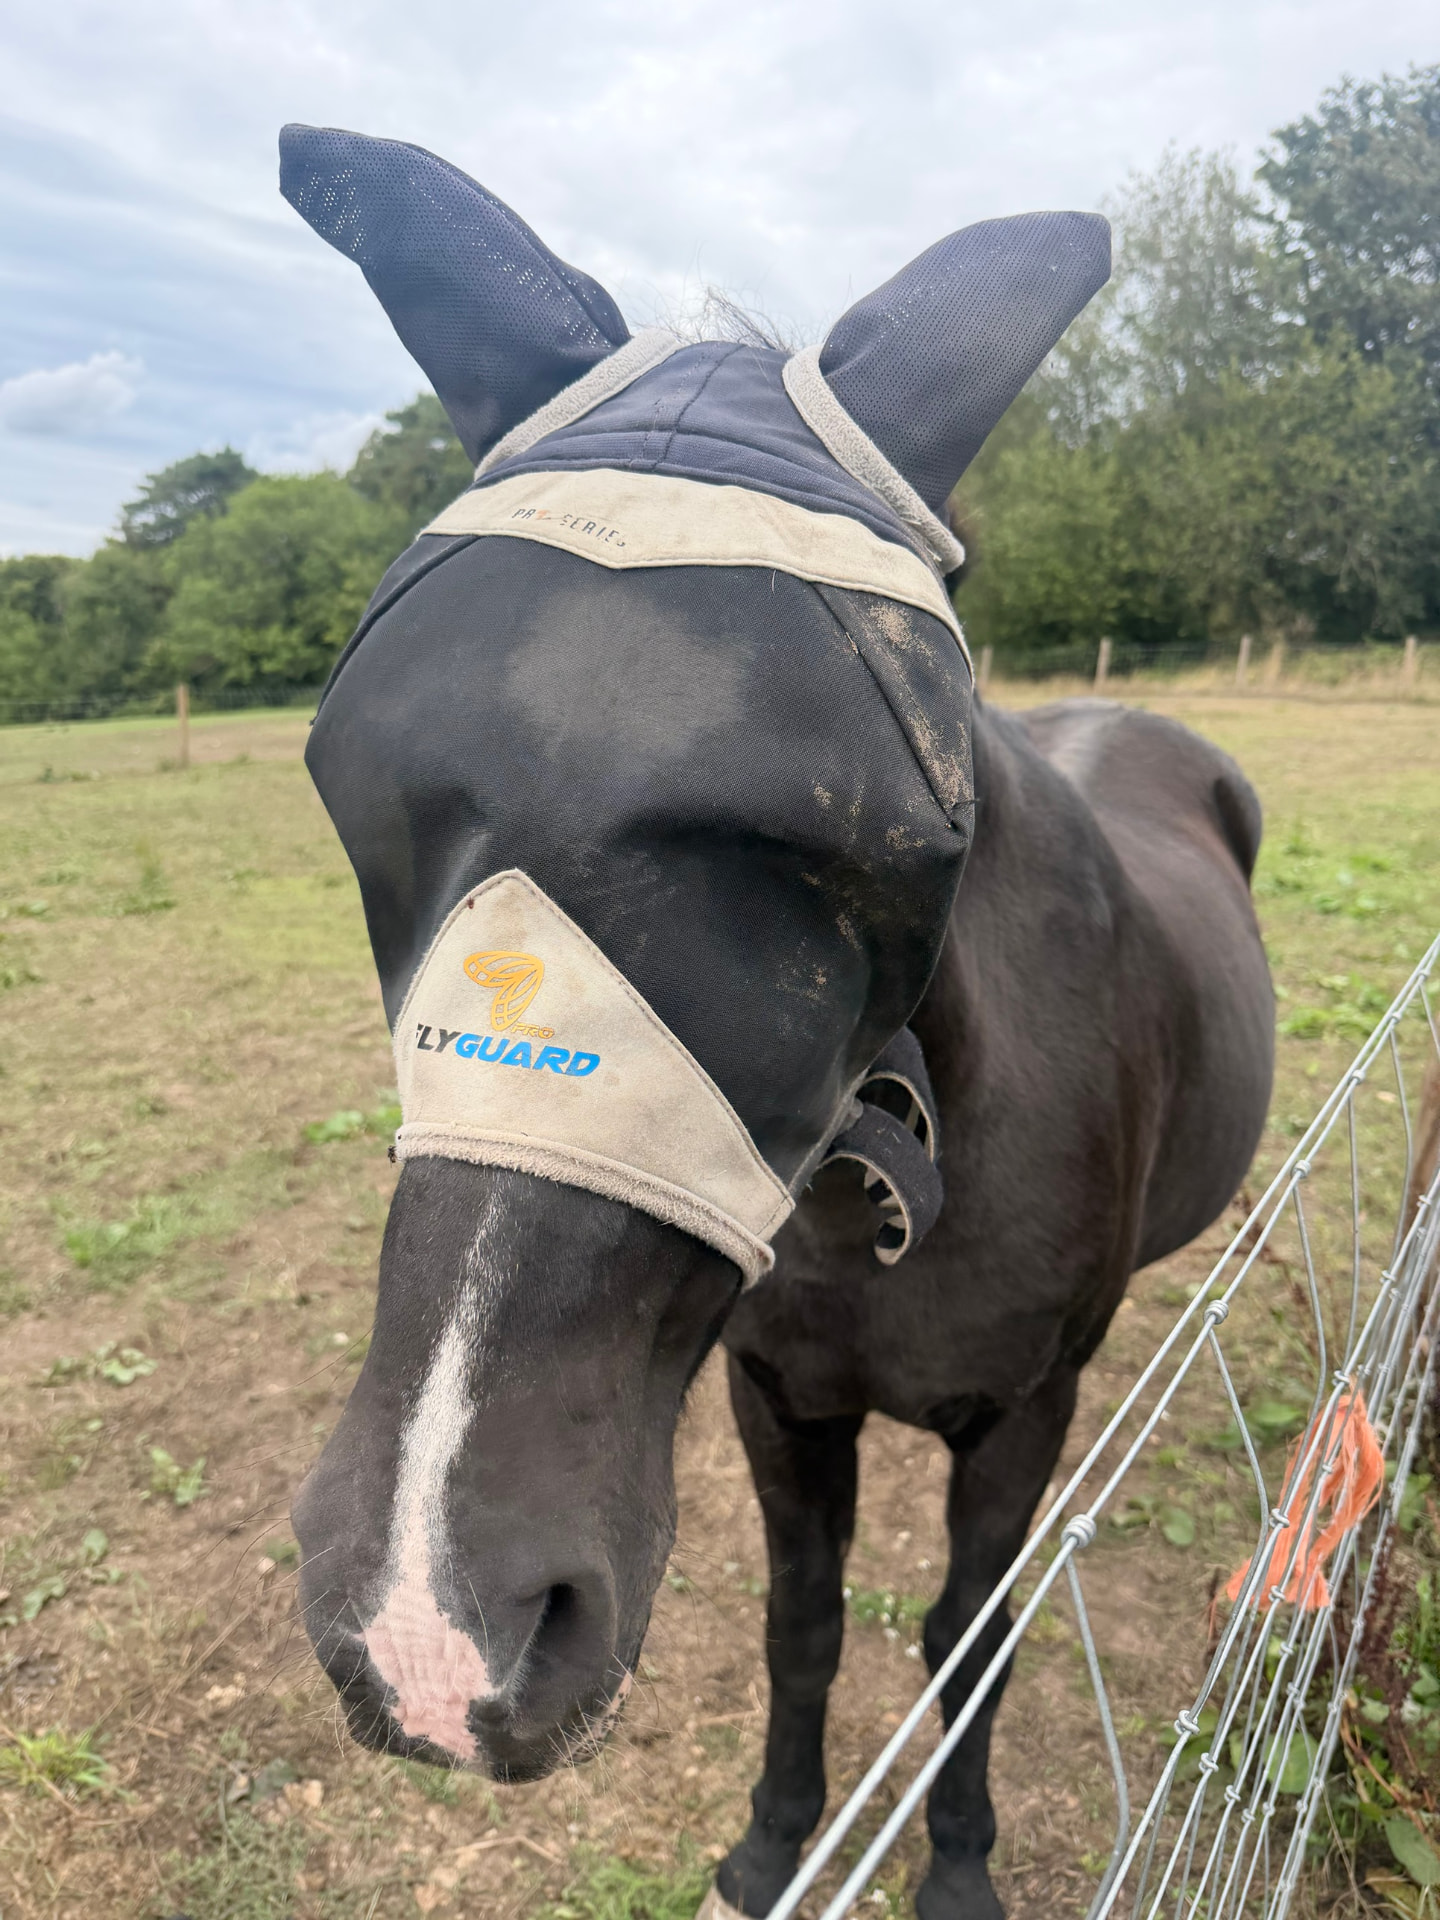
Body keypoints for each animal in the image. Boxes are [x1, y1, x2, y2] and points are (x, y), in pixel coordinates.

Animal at [278, 125, 1275, 1920]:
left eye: (897, 839)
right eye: (351, 781)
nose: (429, 1622)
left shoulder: (1015, 1419)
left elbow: (967, 1642)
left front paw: (959, 1867)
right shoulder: (776, 1401)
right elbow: (802, 1623)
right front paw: (772, 1838)